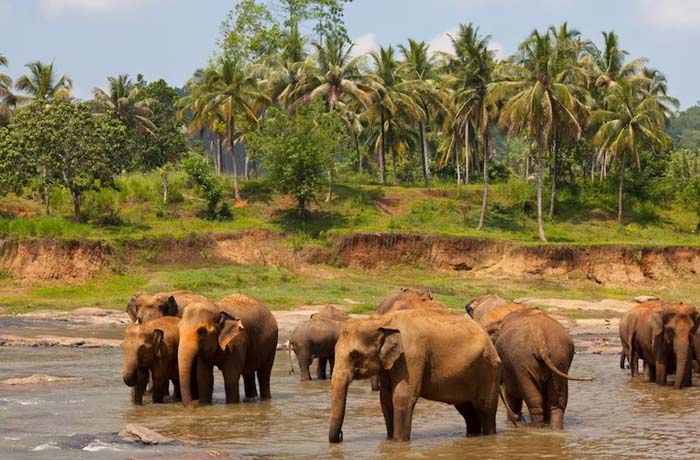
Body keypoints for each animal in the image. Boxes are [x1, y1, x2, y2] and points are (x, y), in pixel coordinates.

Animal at [328, 308, 501, 443]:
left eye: (355, 355)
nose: (341, 436)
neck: (383, 320)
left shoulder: (411, 355)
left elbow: (402, 397)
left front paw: (398, 443)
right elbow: (386, 399)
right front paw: (389, 441)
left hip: (488, 370)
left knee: (486, 409)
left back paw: (489, 436)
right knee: (467, 410)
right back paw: (472, 436)